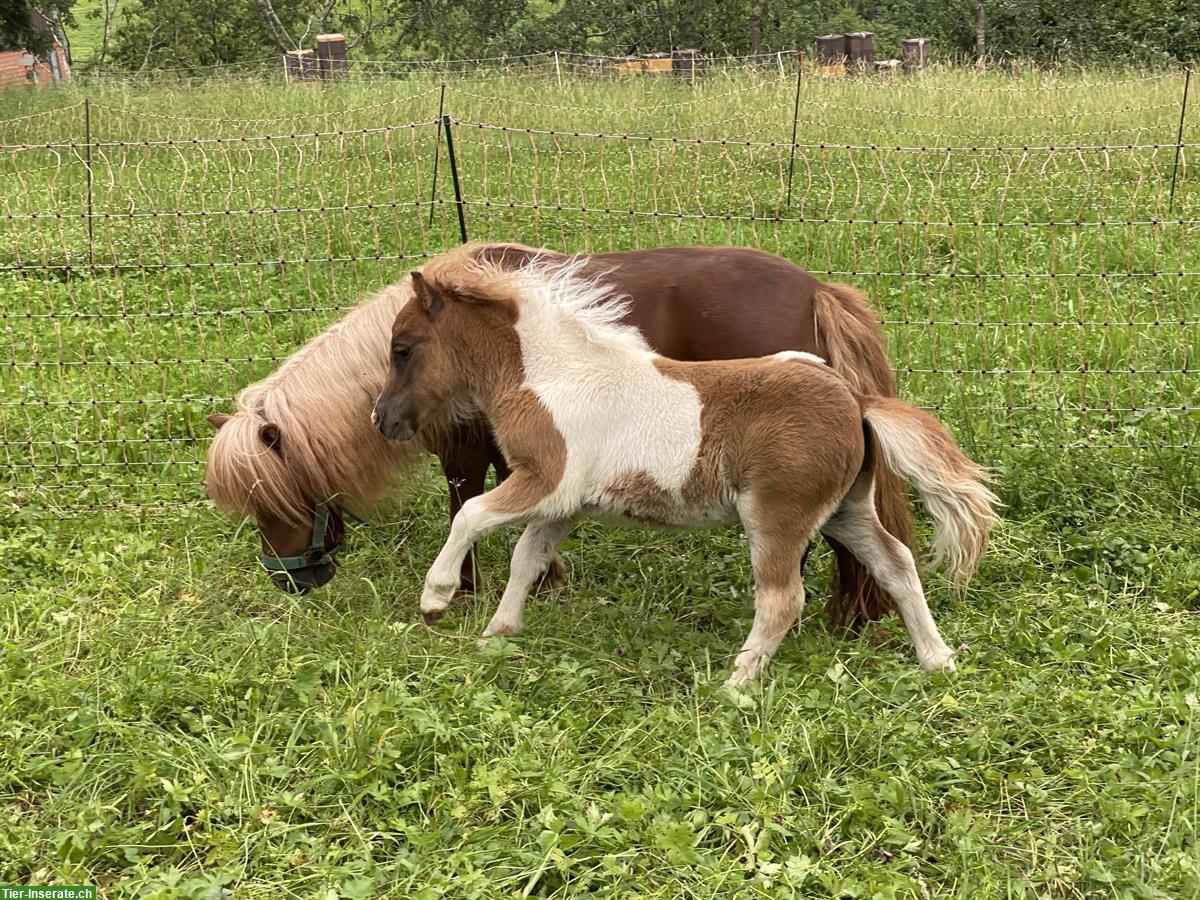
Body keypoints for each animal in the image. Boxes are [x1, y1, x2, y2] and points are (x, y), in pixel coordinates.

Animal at [208, 241, 907, 628]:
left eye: (272, 500)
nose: (291, 582)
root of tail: (818, 292)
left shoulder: (470, 453)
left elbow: (466, 509)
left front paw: (460, 592)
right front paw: (544, 580)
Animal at [369, 254, 998, 691]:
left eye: (402, 348)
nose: (382, 420)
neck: (553, 375)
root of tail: (856, 400)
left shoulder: (546, 479)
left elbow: (472, 514)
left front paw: (436, 599)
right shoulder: (563, 504)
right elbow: (529, 558)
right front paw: (497, 635)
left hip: (777, 515)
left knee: (782, 598)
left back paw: (736, 684)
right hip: (846, 509)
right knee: (897, 564)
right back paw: (938, 659)